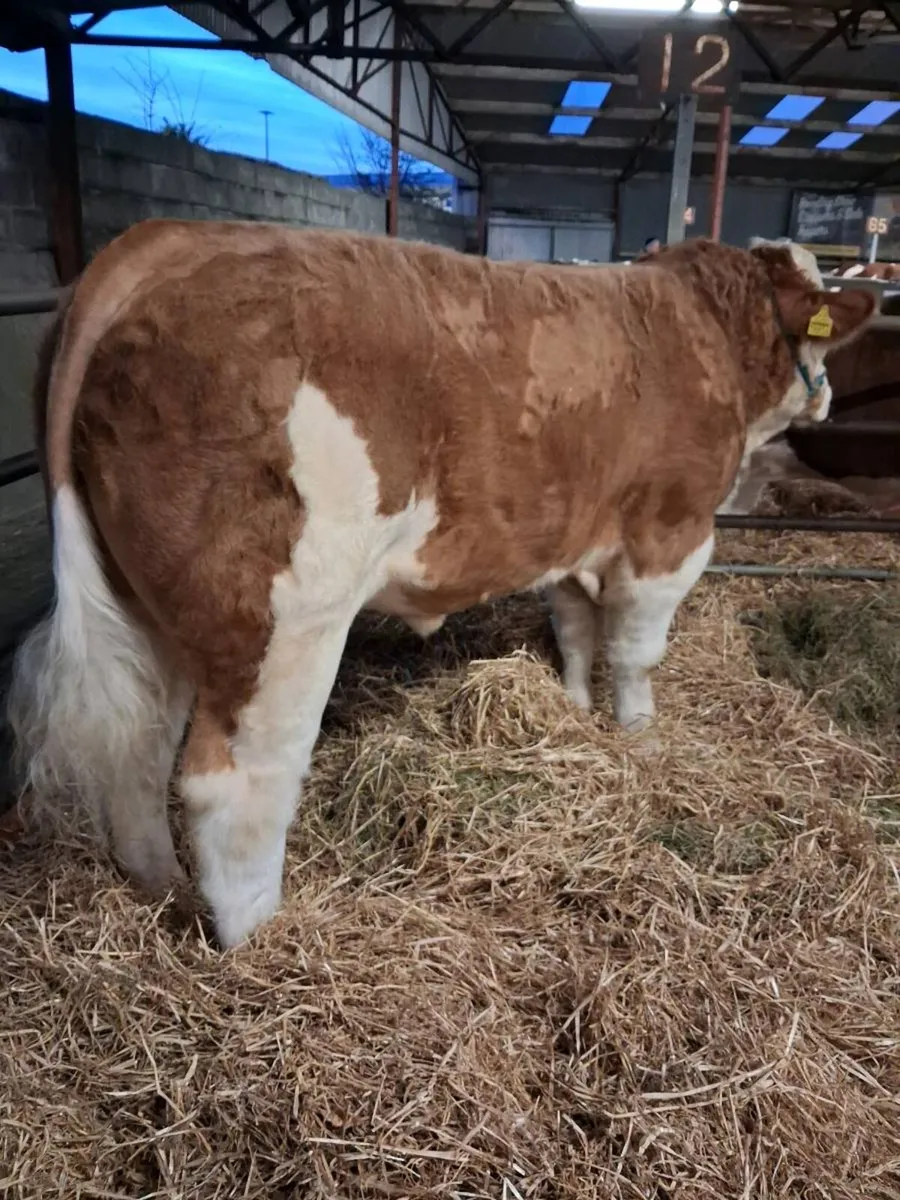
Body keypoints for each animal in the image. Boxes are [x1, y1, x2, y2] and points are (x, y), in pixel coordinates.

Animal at [6, 220, 875, 948]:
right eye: (820, 337)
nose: (831, 397)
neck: (703, 329)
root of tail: (169, 241)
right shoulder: (671, 529)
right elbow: (634, 654)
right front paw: (639, 738)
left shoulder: (571, 533)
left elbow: (574, 629)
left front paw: (574, 709)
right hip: (287, 617)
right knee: (236, 784)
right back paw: (260, 941)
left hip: (143, 610)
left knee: (139, 751)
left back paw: (162, 890)